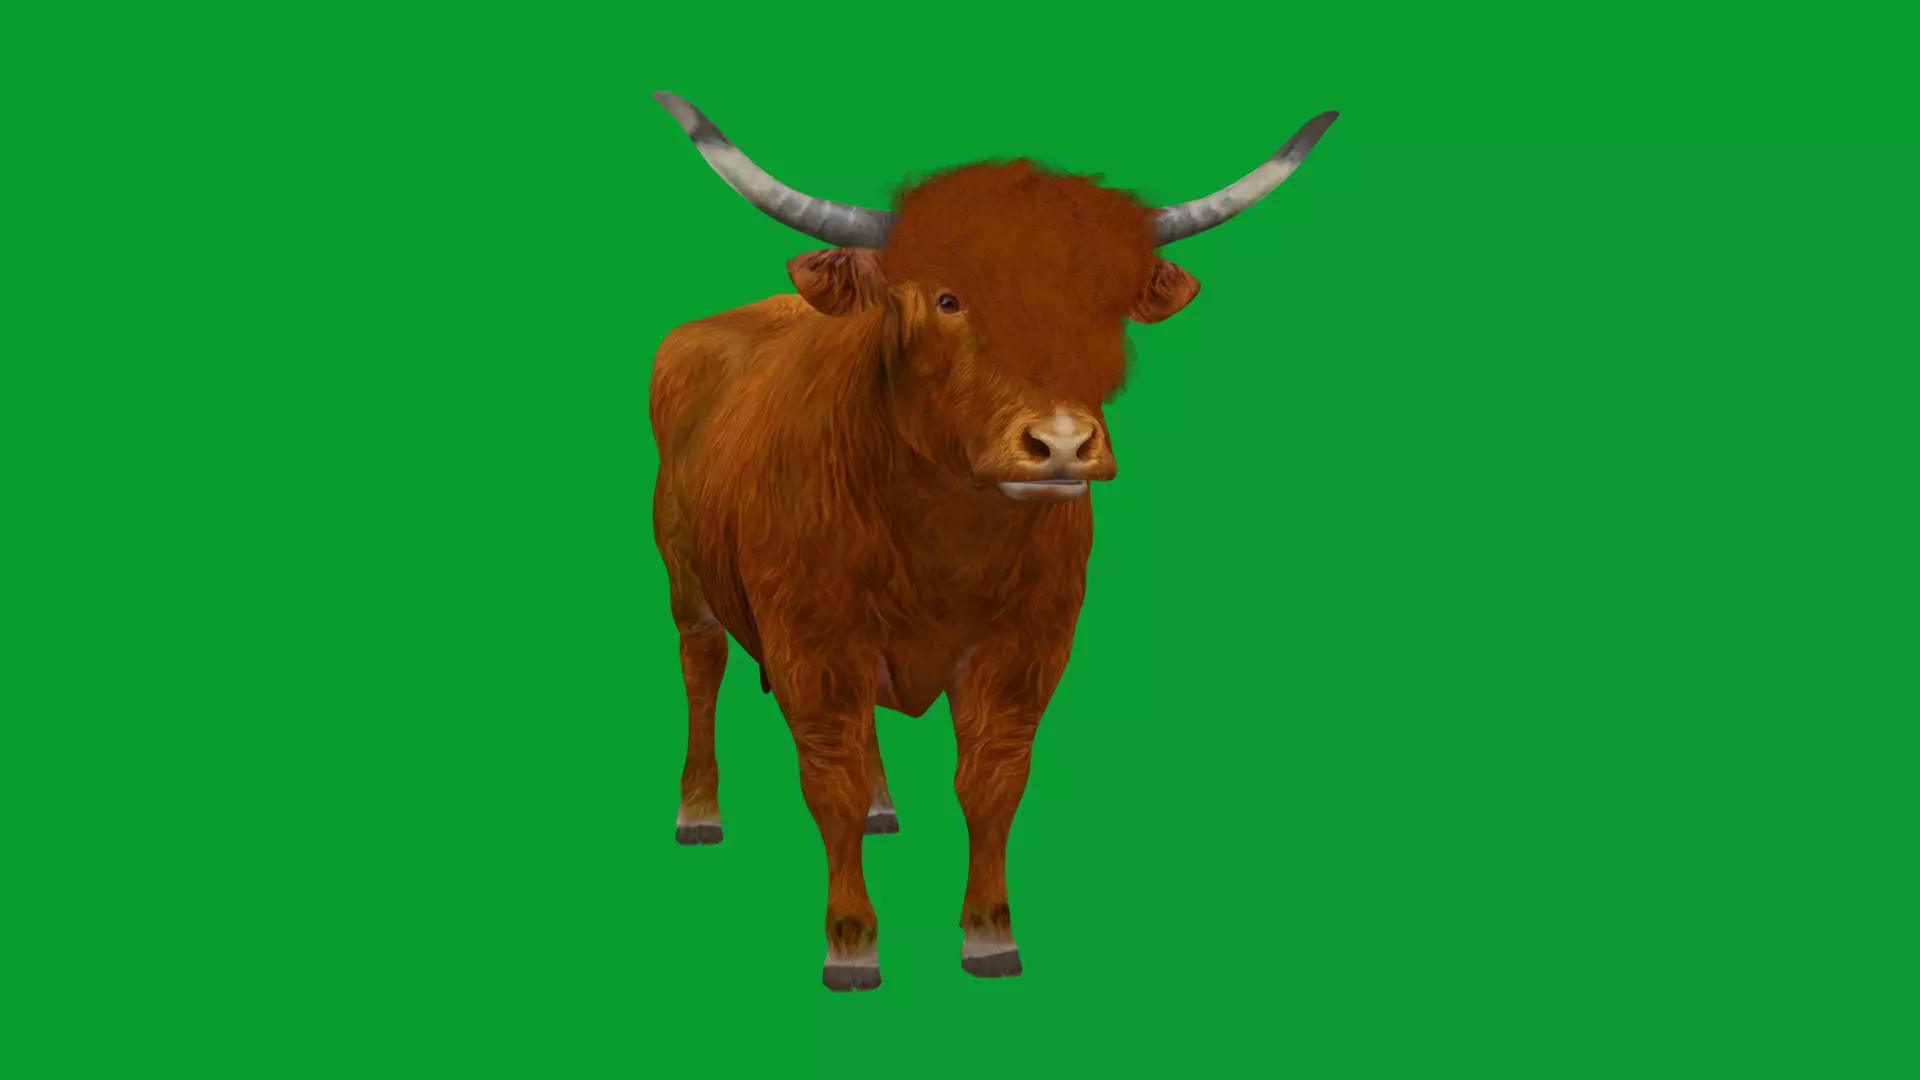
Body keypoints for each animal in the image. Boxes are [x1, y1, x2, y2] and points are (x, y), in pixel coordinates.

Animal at [646, 91, 1336, 991]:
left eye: (1109, 305)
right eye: (948, 299)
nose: (1064, 445)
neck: (945, 541)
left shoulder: (1027, 647)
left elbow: (991, 782)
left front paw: (989, 934)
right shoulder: (812, 644)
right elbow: (828, 780)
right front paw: (850, 941)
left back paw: (883, 805)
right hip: (685, 573)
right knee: (702, 671)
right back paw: (698, 811)